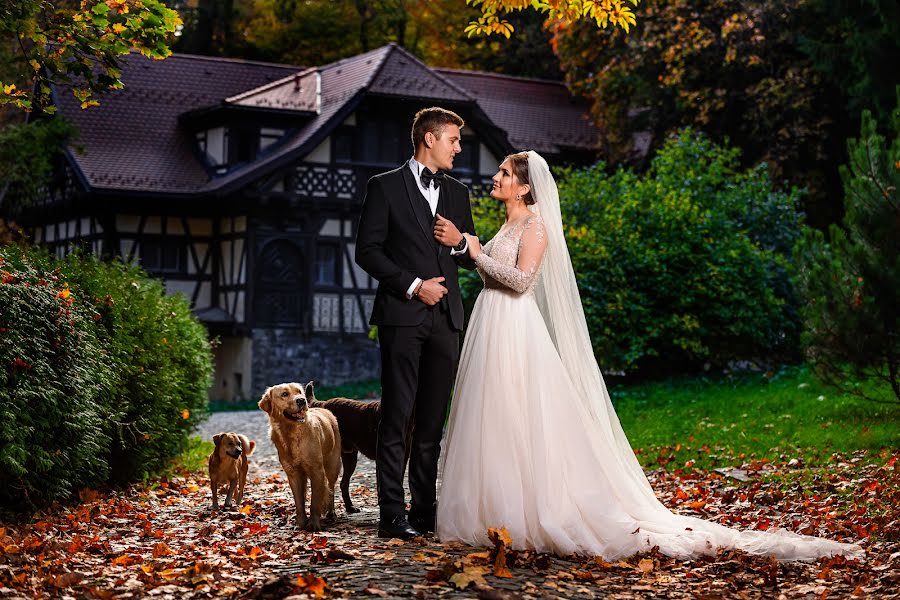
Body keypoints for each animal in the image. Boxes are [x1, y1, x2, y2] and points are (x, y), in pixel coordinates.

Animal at [262, 384, 346, 528]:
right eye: (284, 394)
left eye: (299, 392)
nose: (302, 400)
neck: (291, 434)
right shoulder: (293, 473)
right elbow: (299, 502)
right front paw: (300, 524)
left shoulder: (317, 471)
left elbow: (315, 501)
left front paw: (313, 524)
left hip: (332, 465)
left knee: (331, 488)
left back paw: (331, 513)